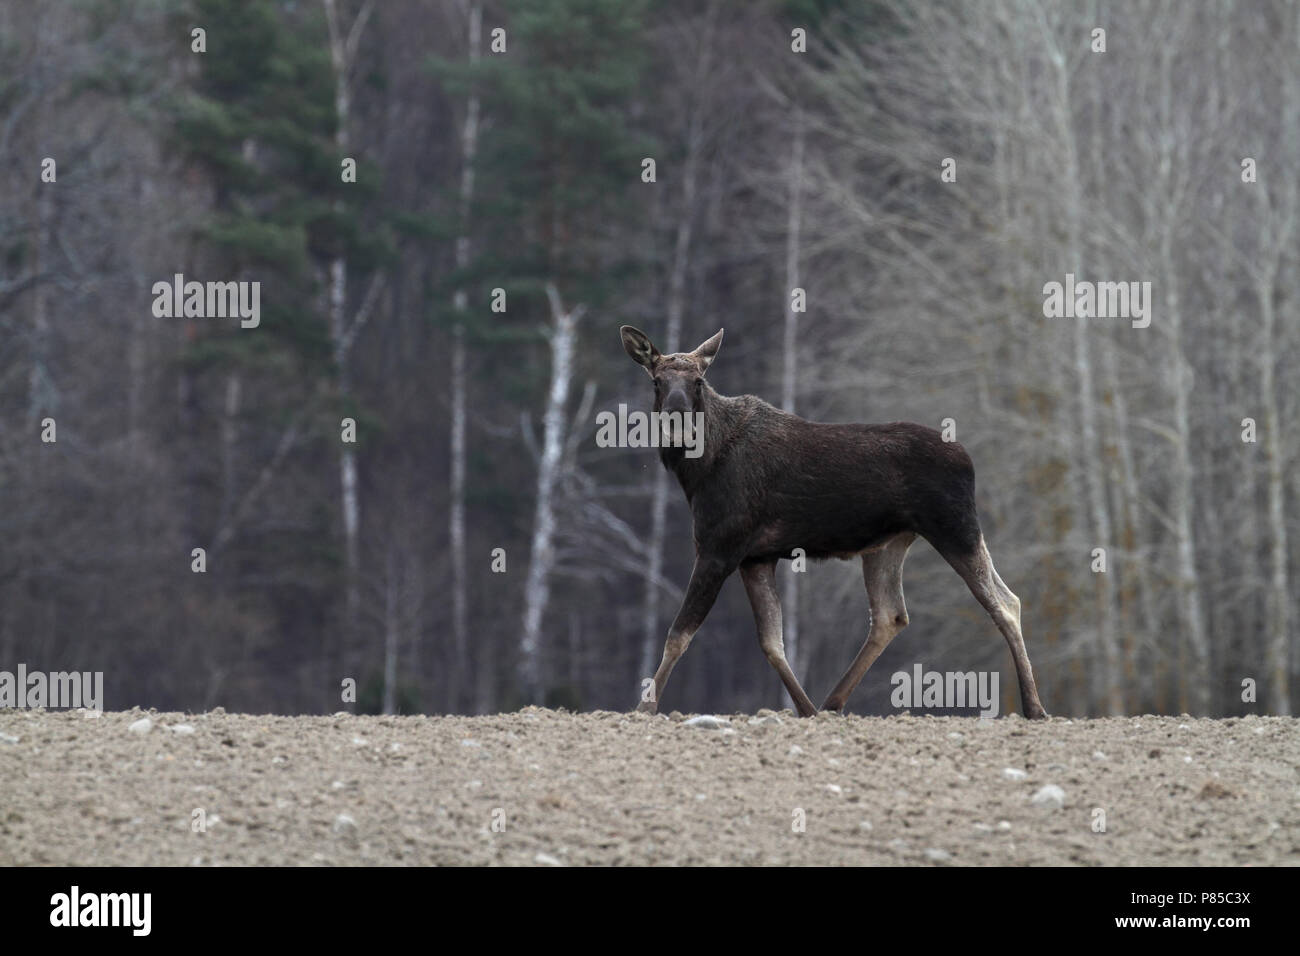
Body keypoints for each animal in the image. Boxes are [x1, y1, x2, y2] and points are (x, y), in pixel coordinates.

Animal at [618, 327, 1045, 717]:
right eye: (657, 381)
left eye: (698, 381)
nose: (676, 424)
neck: (697, 472)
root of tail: (968, 459)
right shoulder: (756, 557)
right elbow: (772, 642)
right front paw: (805, 708)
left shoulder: (719, 547)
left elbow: (679, 633)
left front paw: (643, 709)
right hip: (889, 543)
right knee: (890, 615)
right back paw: (831, 702)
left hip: (955, 526)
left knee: (1005, 602)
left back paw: (1034, 706)